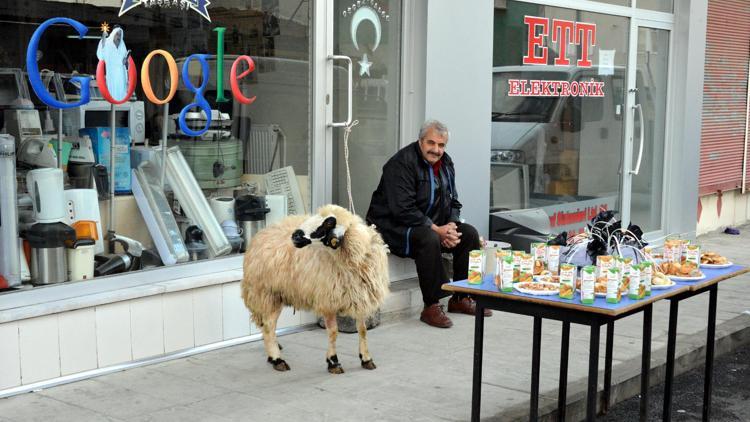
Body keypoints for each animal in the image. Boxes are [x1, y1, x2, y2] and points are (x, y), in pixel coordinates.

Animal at [242, 204, 394, 372]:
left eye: (328, 223)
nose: (295, 236)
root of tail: (264, 232)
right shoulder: (327, 300)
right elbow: (333, 332)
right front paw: (333, 362)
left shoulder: (359, 298)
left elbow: (362, 330)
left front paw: (366, 359)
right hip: (269, 293)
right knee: (269, 327)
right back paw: (277, 359)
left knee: (268, 326)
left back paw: (273, 351)